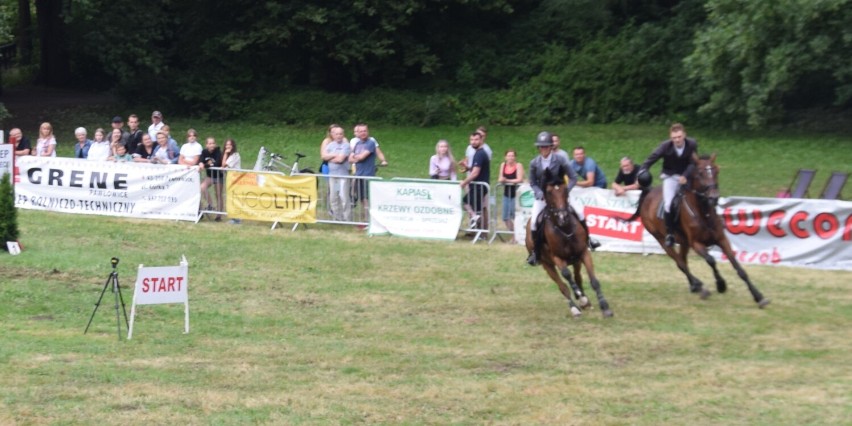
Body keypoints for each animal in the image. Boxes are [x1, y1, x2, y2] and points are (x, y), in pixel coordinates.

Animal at [524, 169, 612, 316]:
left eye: (565, 190)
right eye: (548, 192)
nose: (563, 217)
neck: (565, 229)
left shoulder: (583, 253)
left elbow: (593, 281)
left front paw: (604, 307)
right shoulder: (557, 258)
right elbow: (566, 275)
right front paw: (580, 298)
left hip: (576, 261)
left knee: (577, 277)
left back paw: (585, 301)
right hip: (546, 264)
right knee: (563, 285)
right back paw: (575, 308)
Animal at [624, 155, 772, 308]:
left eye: (716, 171)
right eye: (700, 174)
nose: (714, 197)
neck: (704, 212)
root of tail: (648, 193)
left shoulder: (722, 240)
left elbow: (738, 267)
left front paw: (758, 296)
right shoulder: (696, 244)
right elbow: (711, 260)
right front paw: (721, 285)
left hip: (683, 242)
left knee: (683, 260)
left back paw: (694, 286)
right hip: (662, 239)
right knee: (680, 263)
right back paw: (698, 285)